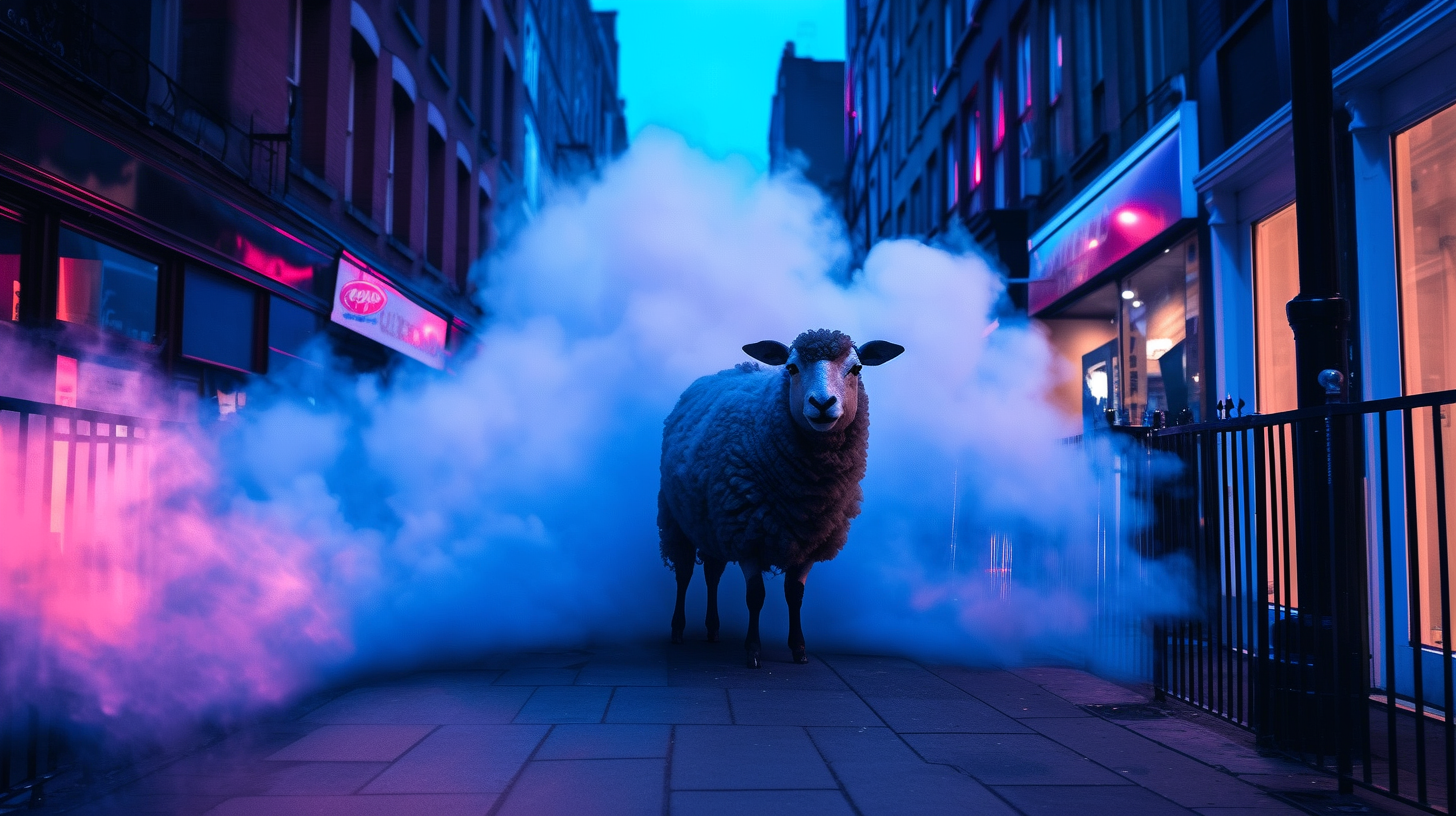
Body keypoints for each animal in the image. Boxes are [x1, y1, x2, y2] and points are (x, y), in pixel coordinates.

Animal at [658, 327, 896, 667]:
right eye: (792, 368)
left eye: (856, 369)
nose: (822, 403)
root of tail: (728, 370)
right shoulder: (746, 533)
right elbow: (755, 596)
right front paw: (753, 650)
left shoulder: (812, 539)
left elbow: (795, 596)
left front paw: (799, 649)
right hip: (676, 518)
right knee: (684, 573)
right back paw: (678, 629)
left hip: (711, 523)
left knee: (712, 574)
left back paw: (713, 629)